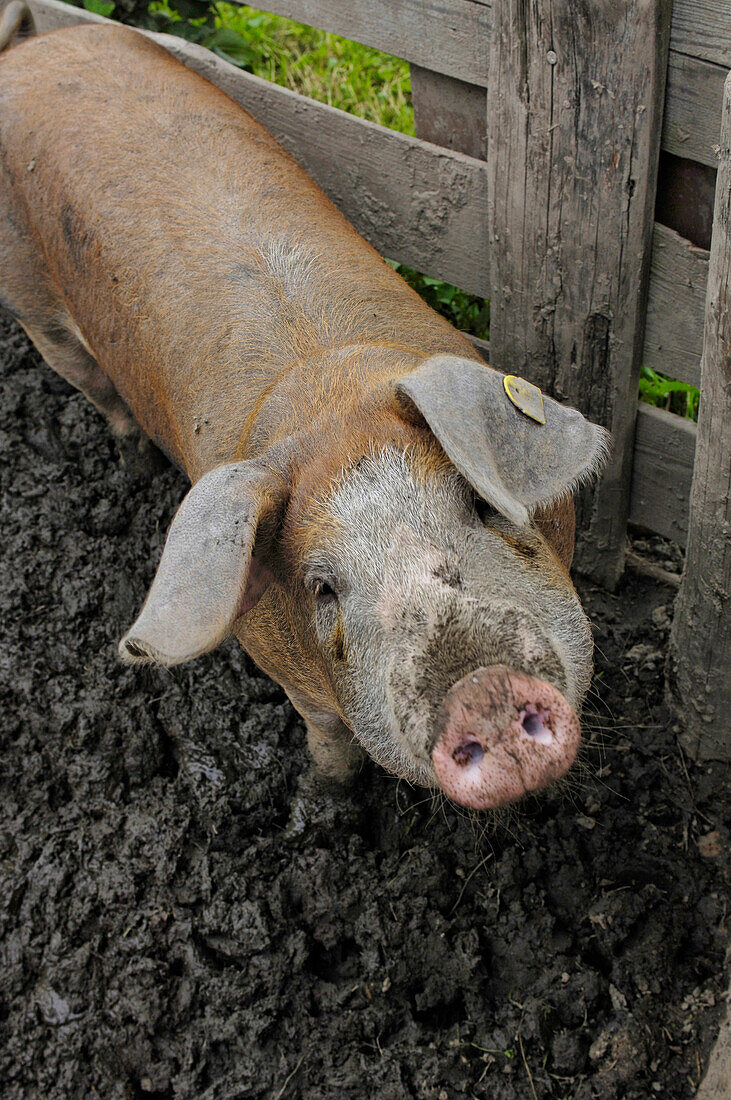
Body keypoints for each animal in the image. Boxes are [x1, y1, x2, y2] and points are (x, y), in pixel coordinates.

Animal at [0, 15, 602, 809]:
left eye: (478, 507)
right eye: (322, 588)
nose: (484, 692)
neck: (327, 395)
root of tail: (27, 51)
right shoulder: (292, 677)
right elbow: (331, 745)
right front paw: (326, 804)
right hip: (32, 302)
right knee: (93, 386)